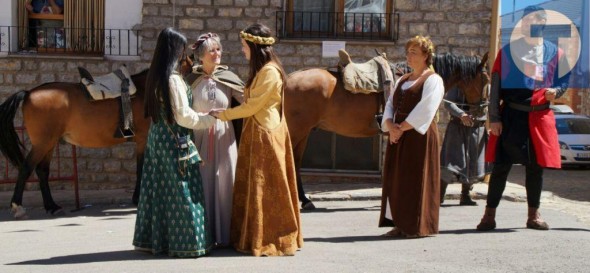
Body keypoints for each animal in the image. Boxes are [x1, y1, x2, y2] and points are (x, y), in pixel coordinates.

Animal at [284, 51, 492, 208]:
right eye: (485, 79)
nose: (482, 110)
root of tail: (287, 80)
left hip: (304, 132)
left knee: (296, 161)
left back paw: (304, 200)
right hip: (298, 130)